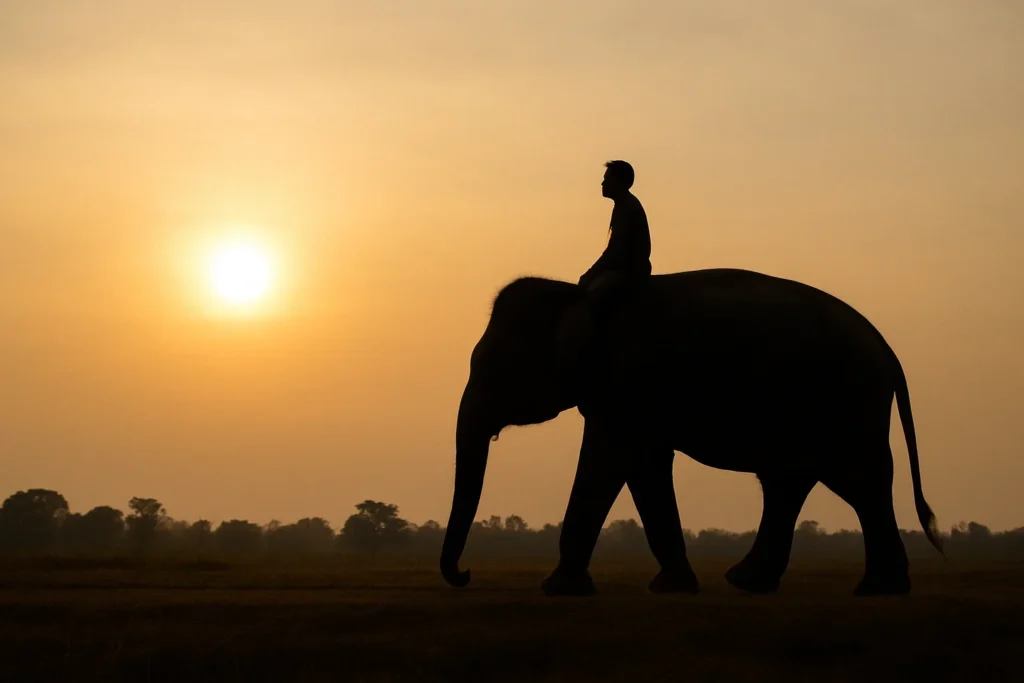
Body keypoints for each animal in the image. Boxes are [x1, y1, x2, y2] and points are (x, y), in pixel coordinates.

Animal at [440, 268, 943, 597]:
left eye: (493, 368)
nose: (466, 575)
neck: (575, 297)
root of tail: (886, 348)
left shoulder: (626, 386)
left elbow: (607, 462)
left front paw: (557, 588)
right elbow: (645, 469)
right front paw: (672, 587)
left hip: (844, 401)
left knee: (856, 481)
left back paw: (876, 590)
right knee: (794, 483)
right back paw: (756, 583)